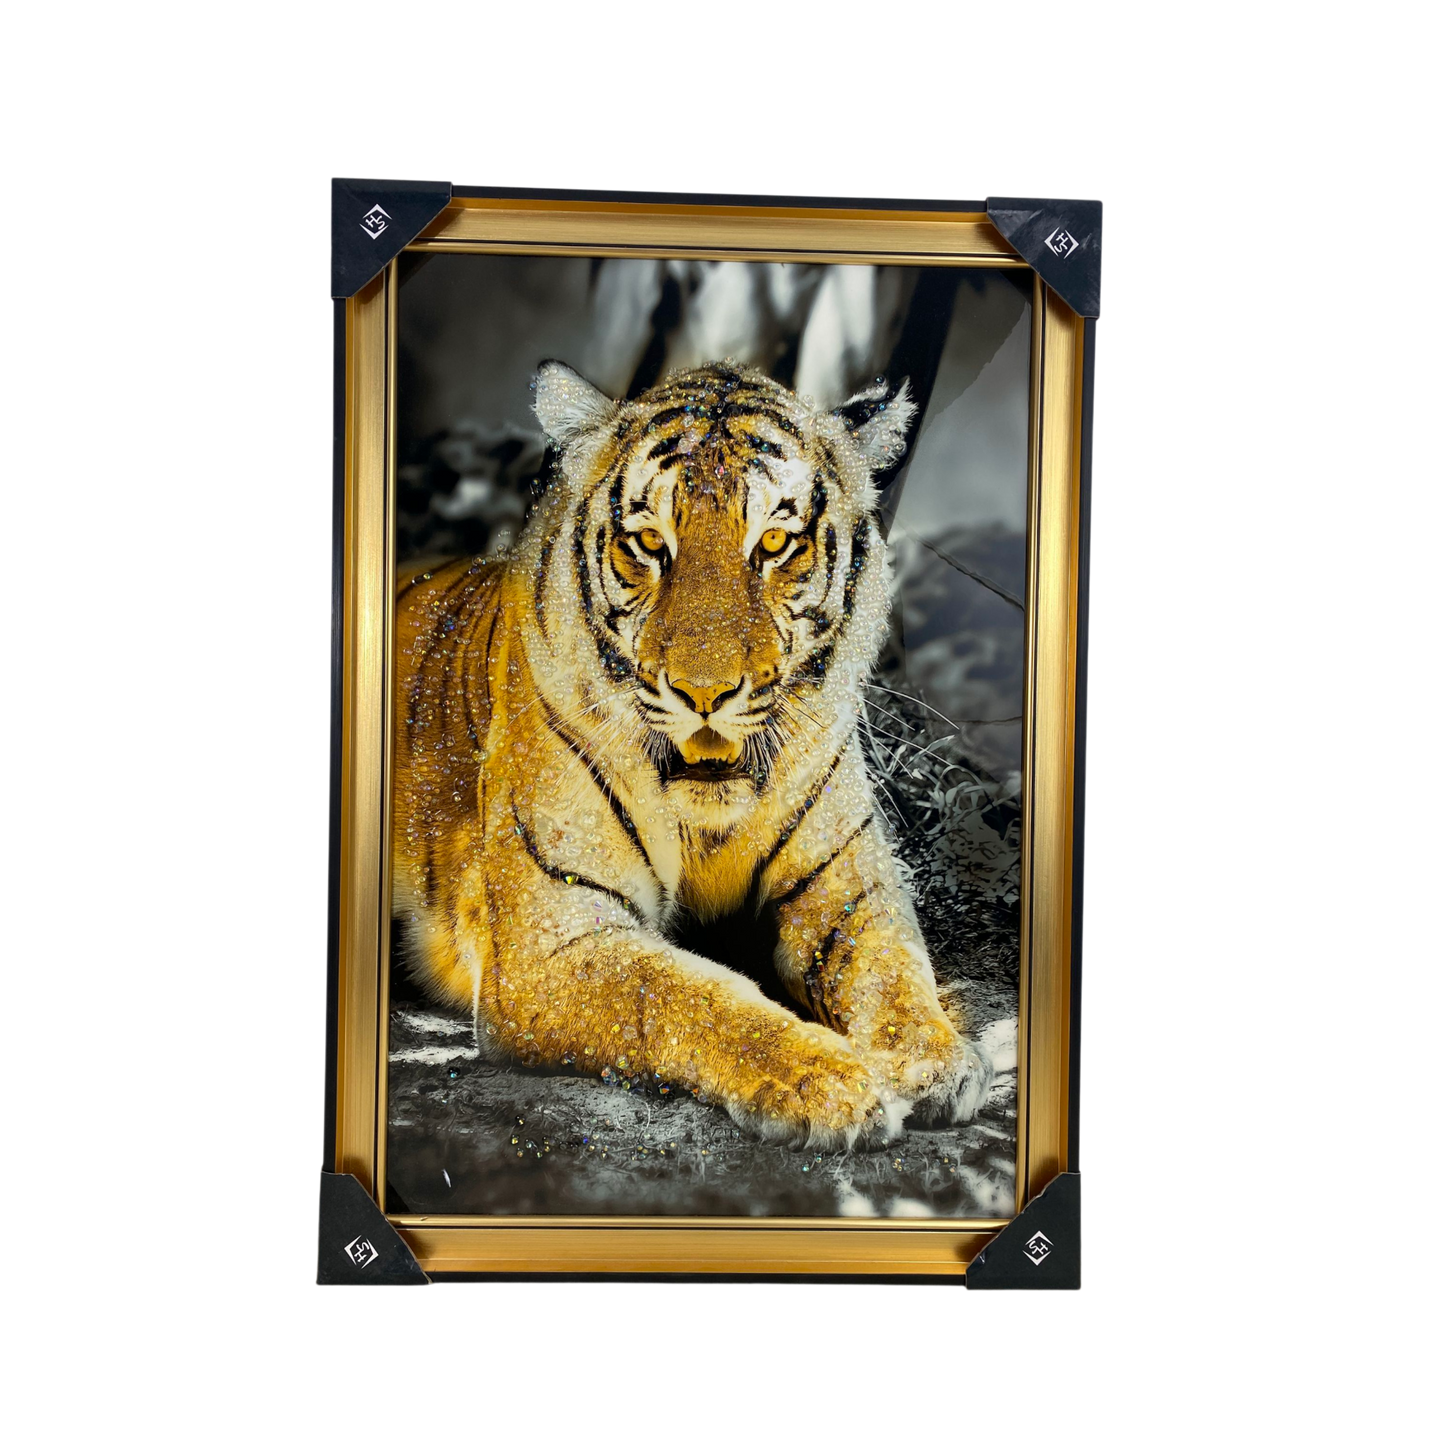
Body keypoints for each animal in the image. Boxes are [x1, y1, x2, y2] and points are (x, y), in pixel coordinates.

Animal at [393, 360, 992, 1151]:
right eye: (650, 543)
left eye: (774, 544)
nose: (703, 692)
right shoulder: (558, 935)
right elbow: (687, 993)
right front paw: (827, 1081)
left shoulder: (852, 888)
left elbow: (891, 969)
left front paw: (936, 1058)